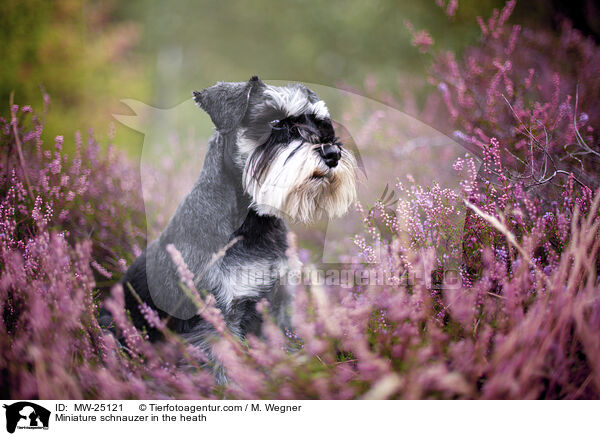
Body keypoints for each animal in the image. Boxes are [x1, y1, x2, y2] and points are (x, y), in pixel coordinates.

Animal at [104, 76, 356, 368]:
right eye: (276, 121)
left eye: (321, 122)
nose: (332, 153)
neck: (253, 225)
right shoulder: (217, 317)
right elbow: (222, 370)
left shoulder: (280, 303)